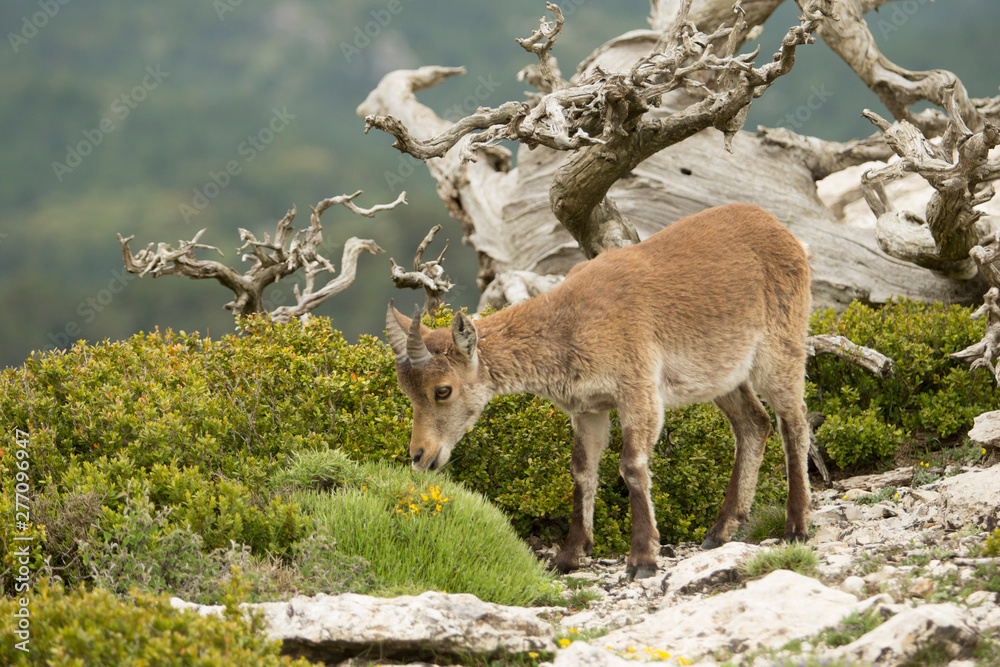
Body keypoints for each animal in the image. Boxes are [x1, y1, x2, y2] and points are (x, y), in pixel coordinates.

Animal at [385, 204, 812, 580]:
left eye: (443, 390)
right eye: (407, 392)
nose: (420, 456)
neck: (570, 326)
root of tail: (785, 233)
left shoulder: (638, 389)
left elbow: (632, 466)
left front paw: (642, 560)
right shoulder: (588, 408)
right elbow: (582, 470)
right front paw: (569, 556)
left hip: (779, 347)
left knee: (793, 423)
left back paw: (795, 525)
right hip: (721, 373)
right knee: (753, 423)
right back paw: (720, 530)